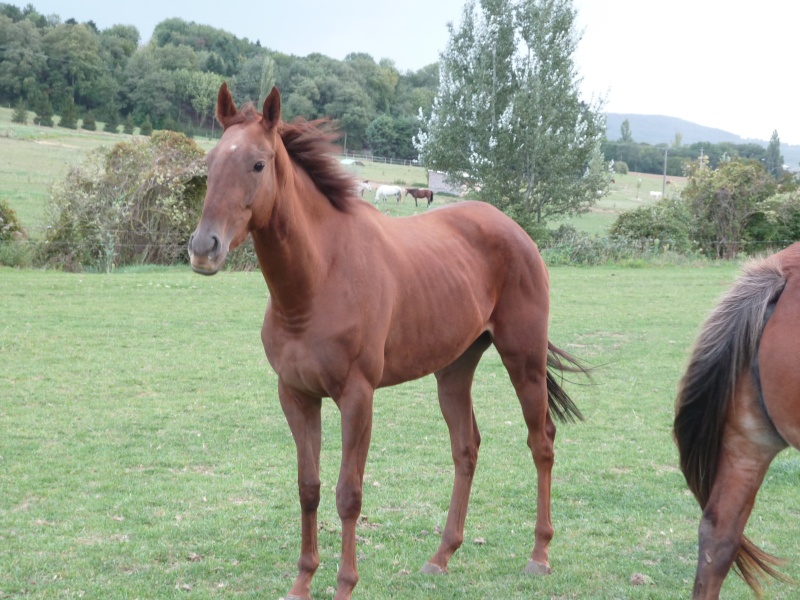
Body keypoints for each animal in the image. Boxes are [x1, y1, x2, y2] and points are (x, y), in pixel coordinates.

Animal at [188, 84, 588, 600]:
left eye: (258, 164)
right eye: (211, 161)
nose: (204, 248)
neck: (318, 281)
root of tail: (514, 230)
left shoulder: (357, 398)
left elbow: (348, 493)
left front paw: (344, 584)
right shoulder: (296, 395)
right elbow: (309, 488)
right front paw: (302, 582)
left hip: (525, 360)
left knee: (541, 442)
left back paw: (539, 555)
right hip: (454, 370)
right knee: (466, 448)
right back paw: (442, 556)